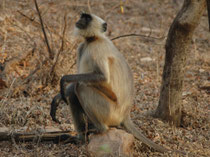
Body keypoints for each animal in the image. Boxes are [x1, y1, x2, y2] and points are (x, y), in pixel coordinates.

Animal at [50, 12, 169, 153]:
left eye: (87, 18)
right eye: (82, 16)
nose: (79, 20)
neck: (92, 39)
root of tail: (125, 114)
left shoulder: (97, 48)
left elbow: (102, 77)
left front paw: (64, 80)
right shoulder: (81, 48)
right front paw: (58, 97)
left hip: (110, 112)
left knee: (81, 87)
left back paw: (100, 129)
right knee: (74, 93)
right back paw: (81, 138)